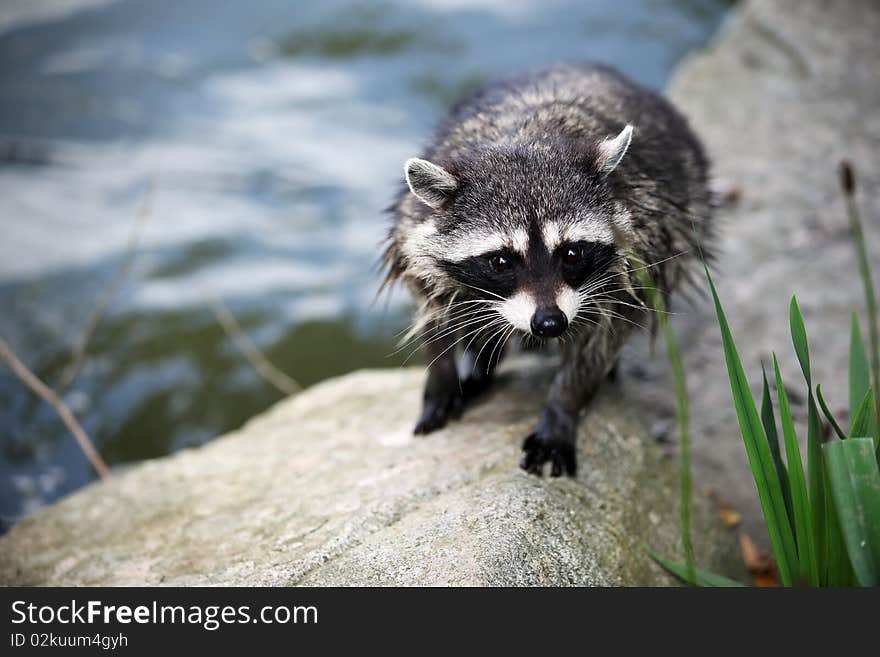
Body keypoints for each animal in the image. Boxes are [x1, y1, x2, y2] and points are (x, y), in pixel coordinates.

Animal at [382, 62, 712, 476]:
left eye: (571, 253)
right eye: (501, 260)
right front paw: (441, 380)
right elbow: (436, 314)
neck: (526, 137)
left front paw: (562, 408)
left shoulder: (643, 249)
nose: (550, 323)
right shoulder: (415, 234)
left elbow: (600, 342)